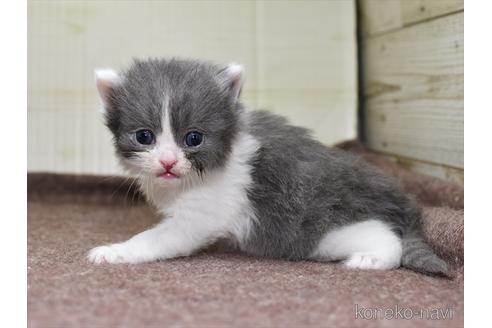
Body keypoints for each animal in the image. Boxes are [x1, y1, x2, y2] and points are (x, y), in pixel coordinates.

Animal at [86, 57, 448, 276]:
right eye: (144, 136)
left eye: (193, 138)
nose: (167, 161)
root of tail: (404, 206)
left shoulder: (201, 216)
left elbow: (158, 238)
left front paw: (116, 252)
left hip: (331, 232)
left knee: (386, 238)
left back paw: (371, 259)